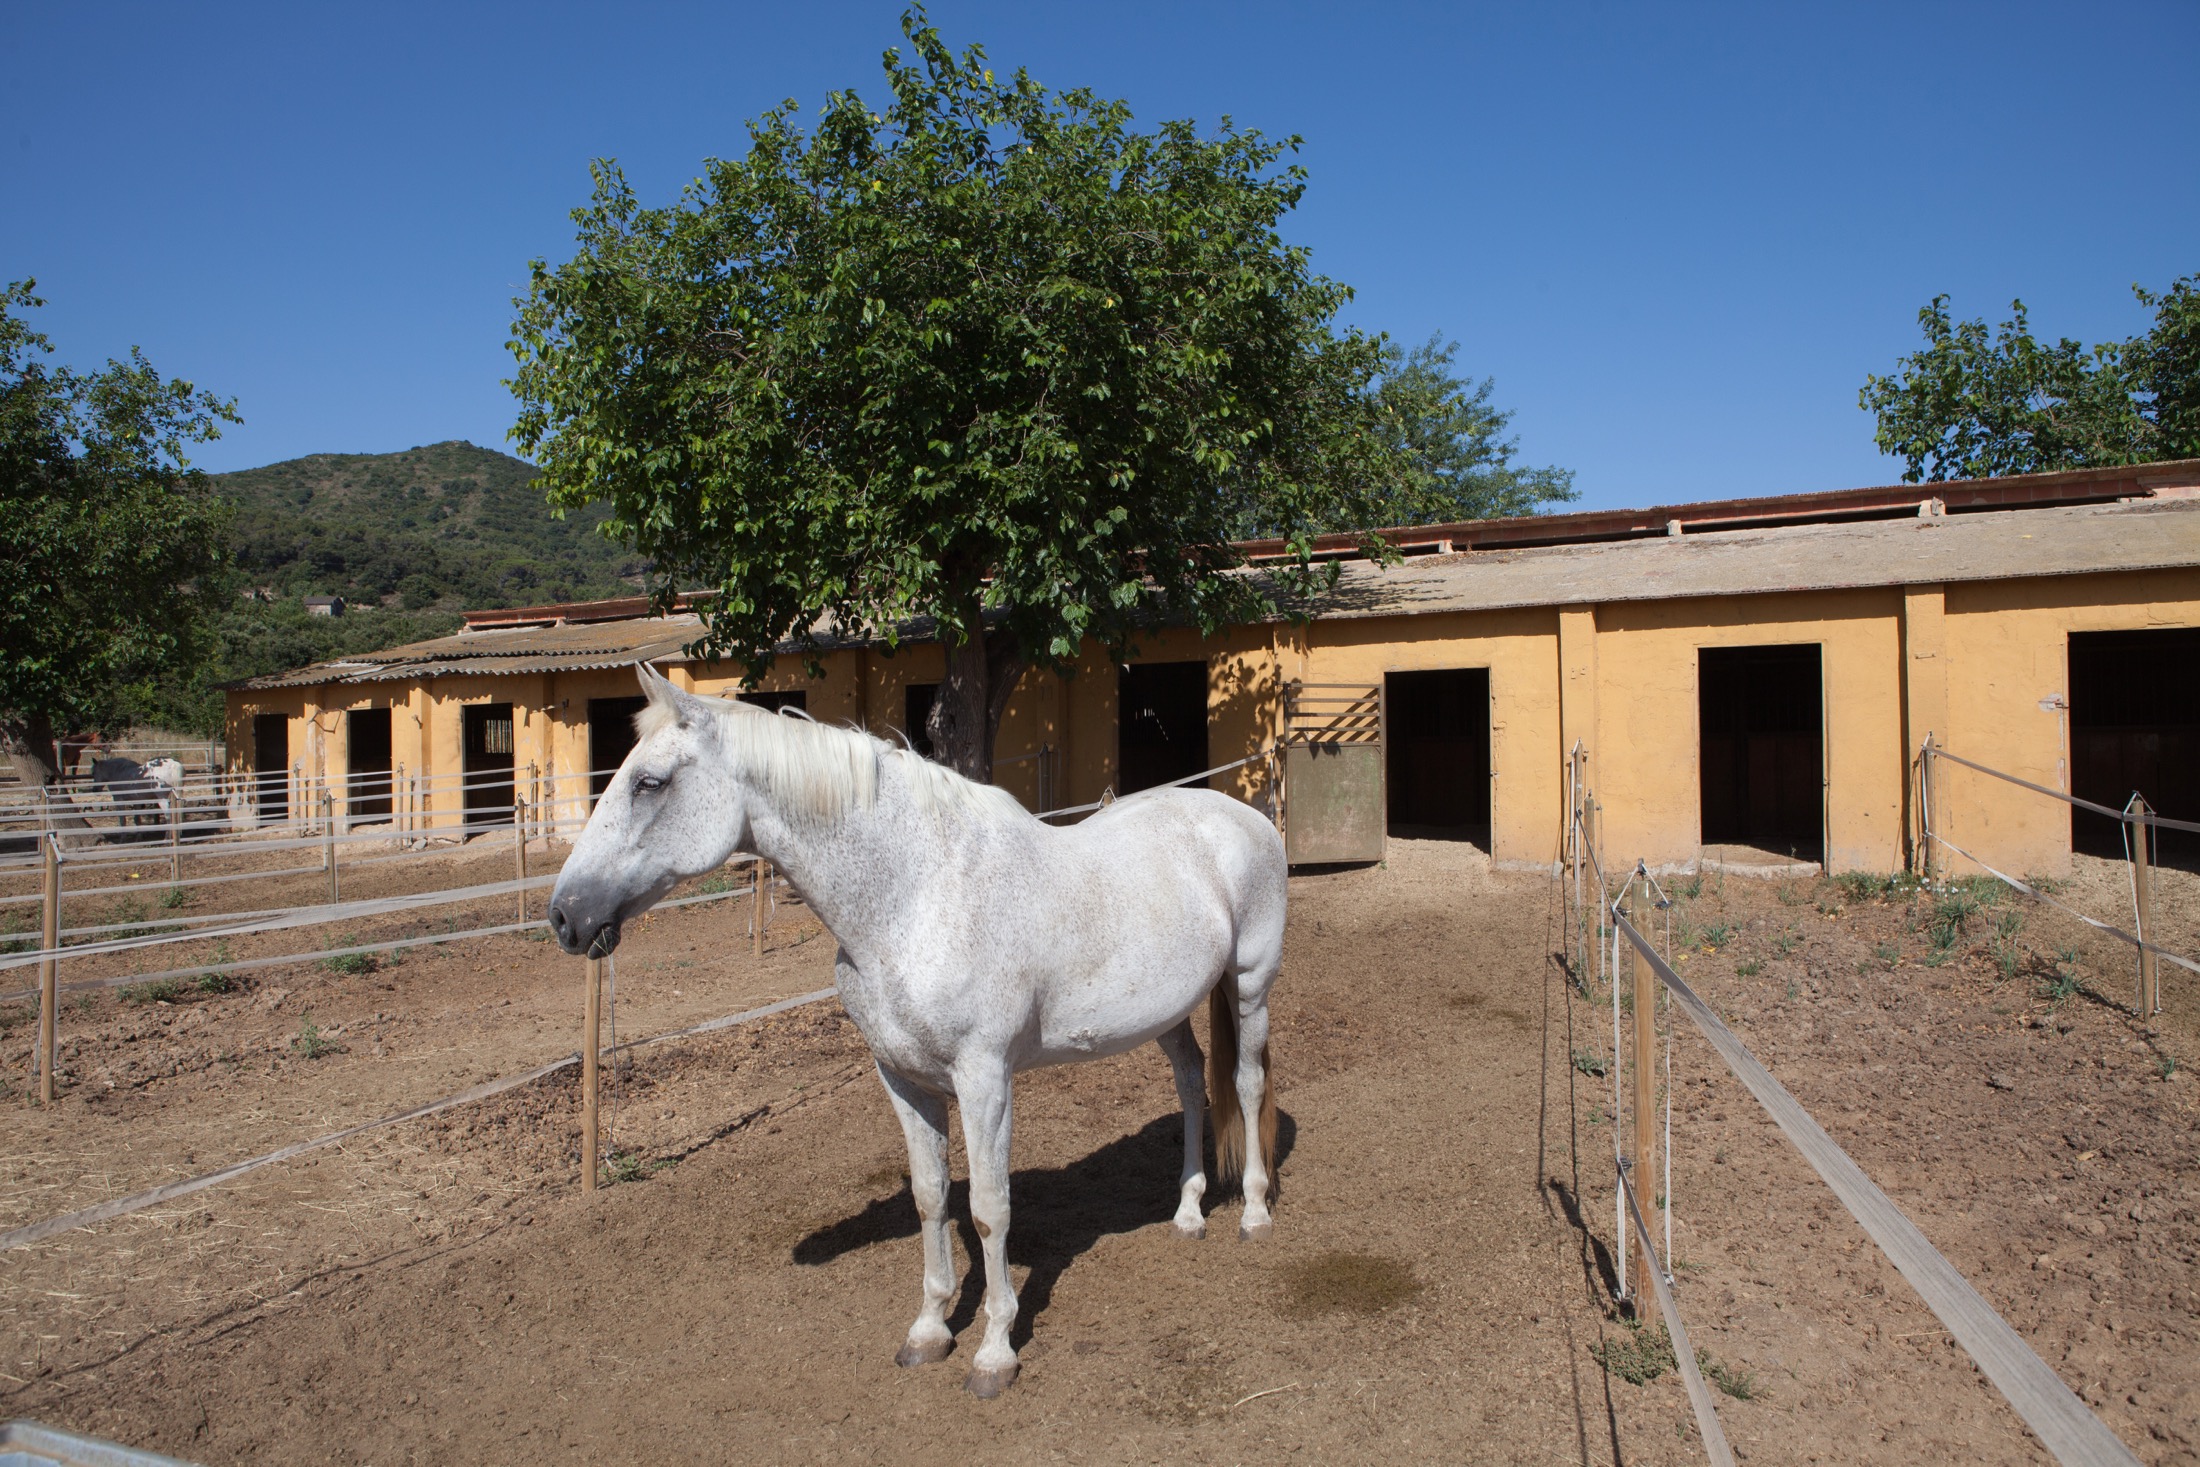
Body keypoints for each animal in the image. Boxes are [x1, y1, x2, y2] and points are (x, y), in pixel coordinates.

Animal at [547, 668, 1284, 1398]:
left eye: (649, 782)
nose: (564, 915)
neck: (918, 897)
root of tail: (1244, 817)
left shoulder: (985, 1080)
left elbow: (989, 1207)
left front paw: (994, 1353)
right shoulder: (902, 1078)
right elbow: (931, 1198)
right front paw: (929, 1331)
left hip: (1248, 985)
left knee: (1246, 1084)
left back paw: (1253, 1214)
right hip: (1168, 1012)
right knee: (1191, 1083)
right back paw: (1187, 1213)